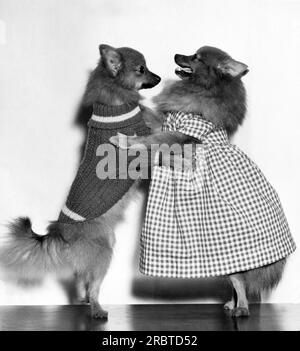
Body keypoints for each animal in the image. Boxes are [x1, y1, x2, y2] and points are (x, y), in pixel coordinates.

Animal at [0, 44, 162, 320]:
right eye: (141, 69)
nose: (160, 78)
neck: (114, 104)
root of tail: (59, 233)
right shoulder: (144, 140)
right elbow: (159, 126)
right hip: (103, 250)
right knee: (93, 283)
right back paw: (97, 309)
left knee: (83, 281)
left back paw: (87, 301)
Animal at [110, 45, 296, 318]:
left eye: (195, 58)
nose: (177, 54)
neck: (201, 88)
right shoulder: (170, 123)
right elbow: (153, 120)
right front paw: (138, 106)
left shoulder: (179, 134)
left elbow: (149, 141)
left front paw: (125, 141)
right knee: (235, 281)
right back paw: (231, 303)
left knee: (240, 282)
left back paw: (241, 308)